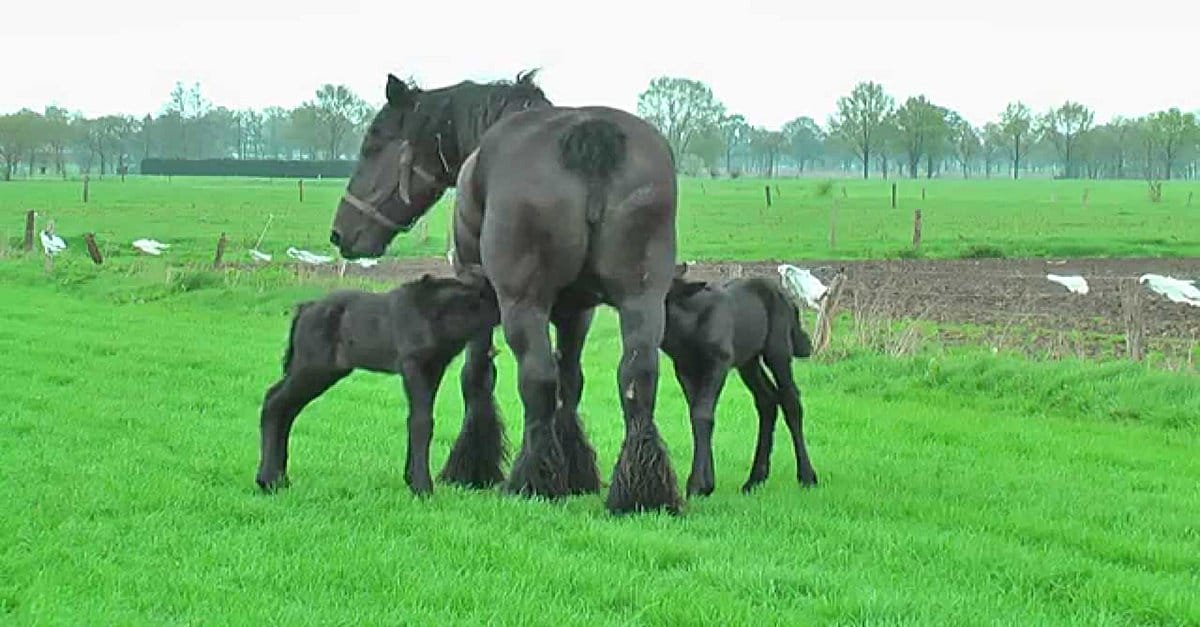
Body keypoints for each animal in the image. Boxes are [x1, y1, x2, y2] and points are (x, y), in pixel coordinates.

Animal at [329, 71, 684, 515]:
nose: (339, 233)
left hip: (522, 303)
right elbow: (571, 381)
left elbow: (477, 375)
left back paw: (532, 481)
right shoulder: (577, 312)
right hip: (642, 300)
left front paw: (472, 465)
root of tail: (589, 138)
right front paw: (577, 470)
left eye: (373, 143)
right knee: (637, 377)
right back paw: (641, 492)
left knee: (537, 379)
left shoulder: (478, 294)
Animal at [660, 268, 819, 496]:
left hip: (778, 350)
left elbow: (702, 414)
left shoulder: (718, 362)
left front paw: (696, 485)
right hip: (748, 361)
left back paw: (807, 476)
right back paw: (755, 479)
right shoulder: (684, 368)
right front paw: (707, 483)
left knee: (791, 400)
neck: (689, 326)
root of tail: (788, 298)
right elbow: (696, 412)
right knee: (767, 400)